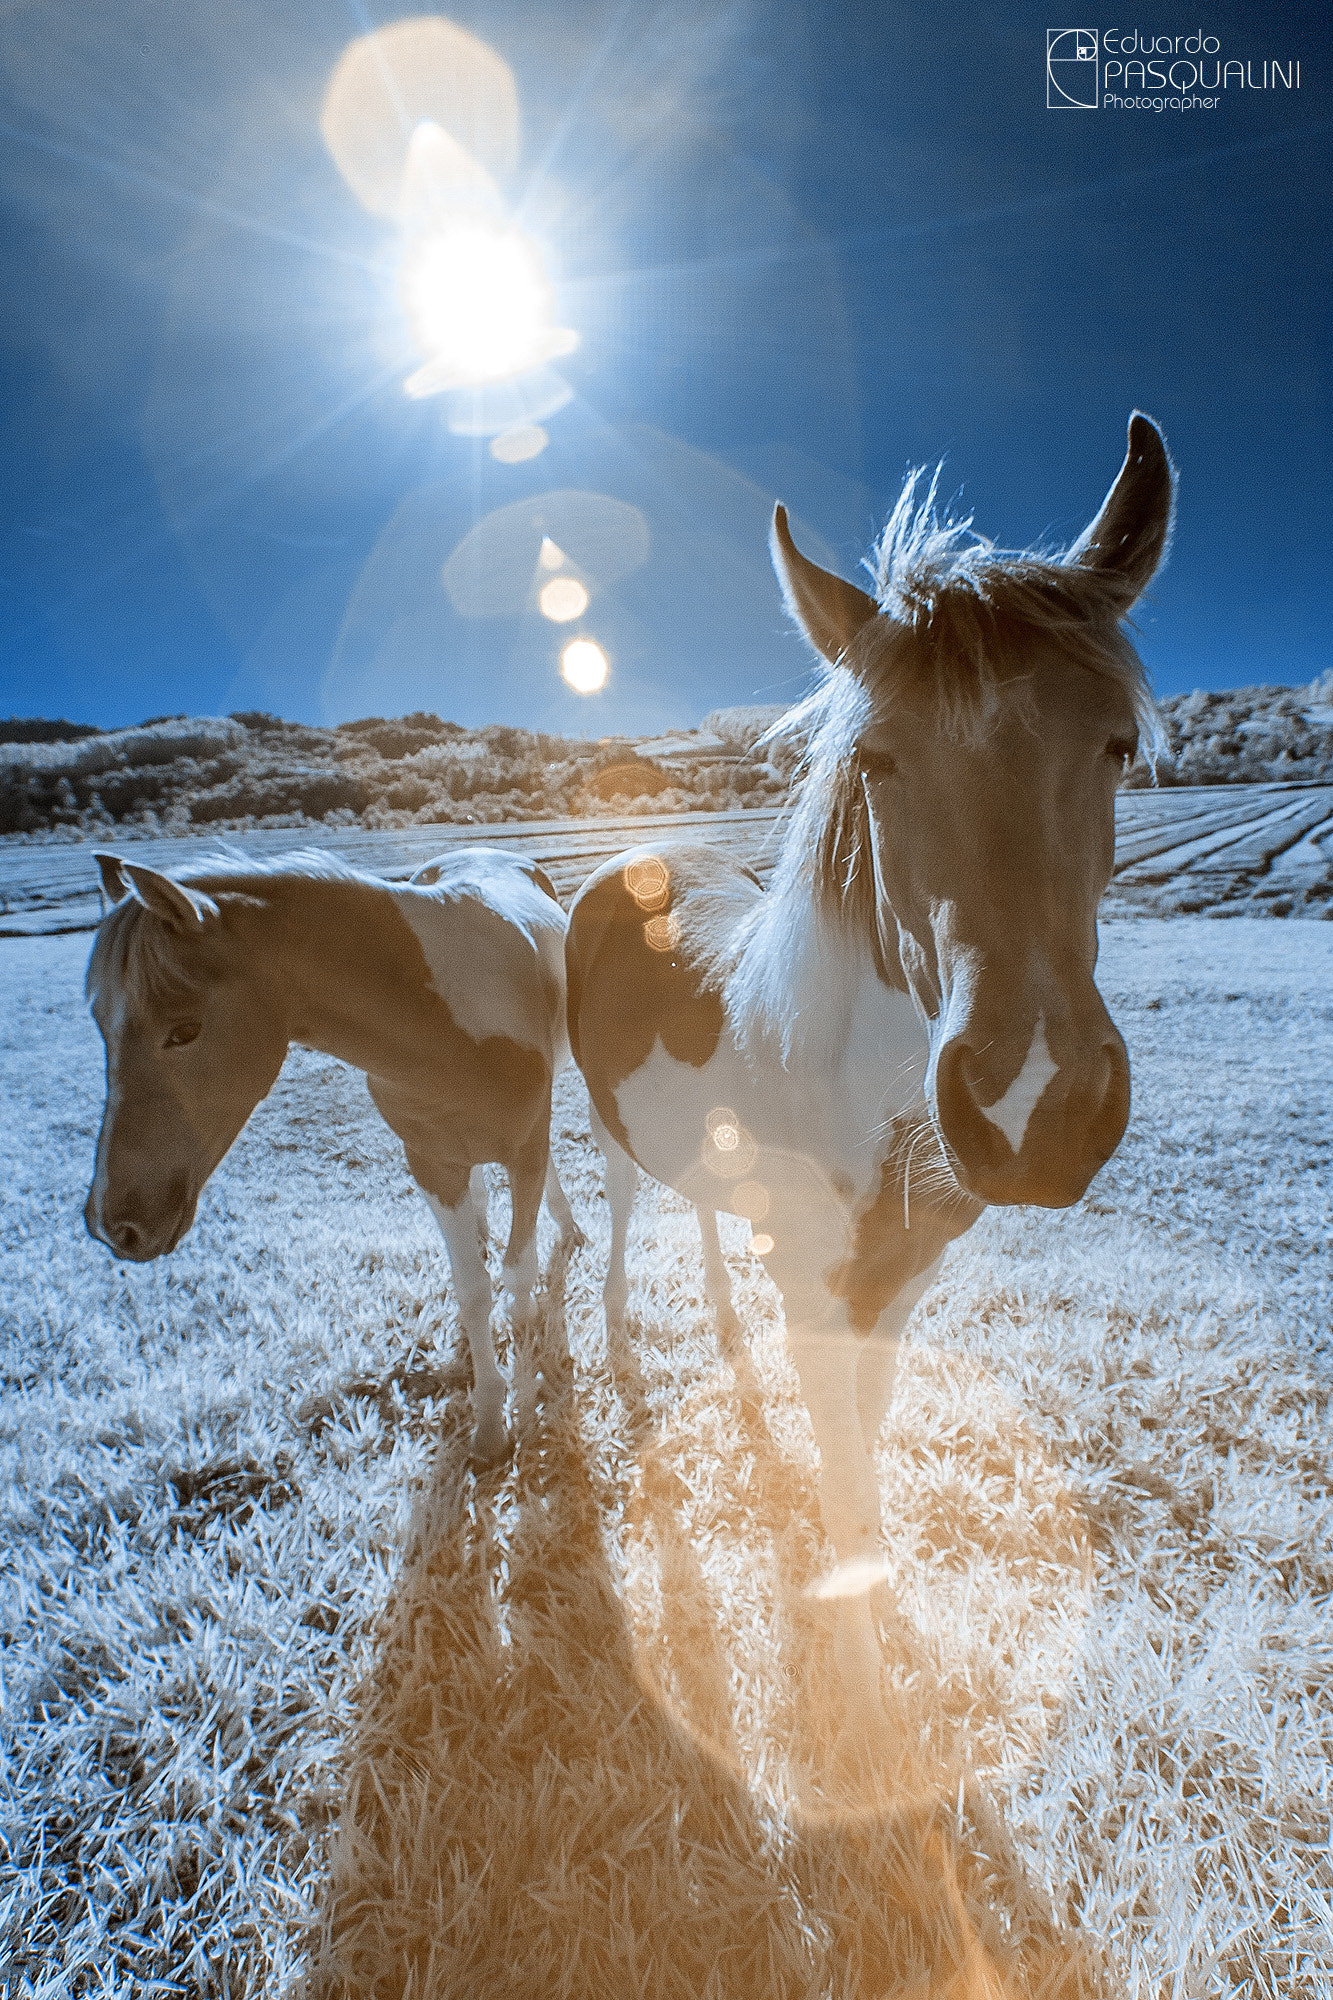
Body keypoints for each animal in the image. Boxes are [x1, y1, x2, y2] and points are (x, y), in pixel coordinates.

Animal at [83, 846, 579, 1464]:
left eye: (184, 1029)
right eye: (100, 1025)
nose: (114, 1225)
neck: (444, 1025)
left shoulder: (524, 1151)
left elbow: (517, 1274)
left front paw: (527, 1394)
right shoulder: (432, 1166)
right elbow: (473, 1289)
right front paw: (491, 1422)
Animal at [566, 412, 1174, 1721]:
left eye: (1113, 744)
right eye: (880, 759)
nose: (1034, 1108)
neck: (855, 1099)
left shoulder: (898, 1286)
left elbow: (870, 1434)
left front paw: (884, 1615)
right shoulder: (821, 1296)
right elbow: (841, 1464)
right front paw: (861, 1694)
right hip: (602, 1128)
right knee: (627, 1209)